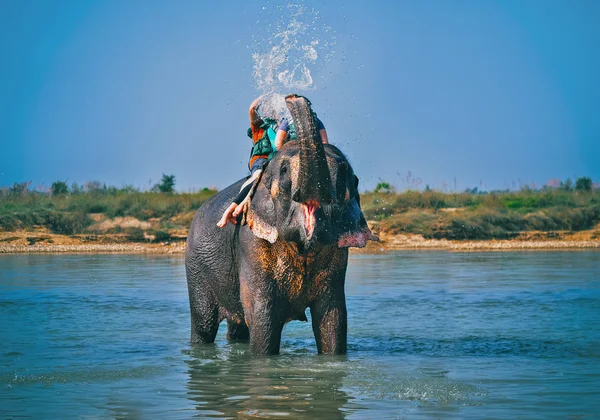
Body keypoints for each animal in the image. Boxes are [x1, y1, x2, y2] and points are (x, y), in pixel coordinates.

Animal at [185, 95, 378, 354]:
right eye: (285, 171)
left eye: (343, 173)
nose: (292, 98)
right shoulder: (251, 242)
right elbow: (262, 315)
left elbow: (332, 317)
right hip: (196, 268)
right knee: (204, 325)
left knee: (237, 327)